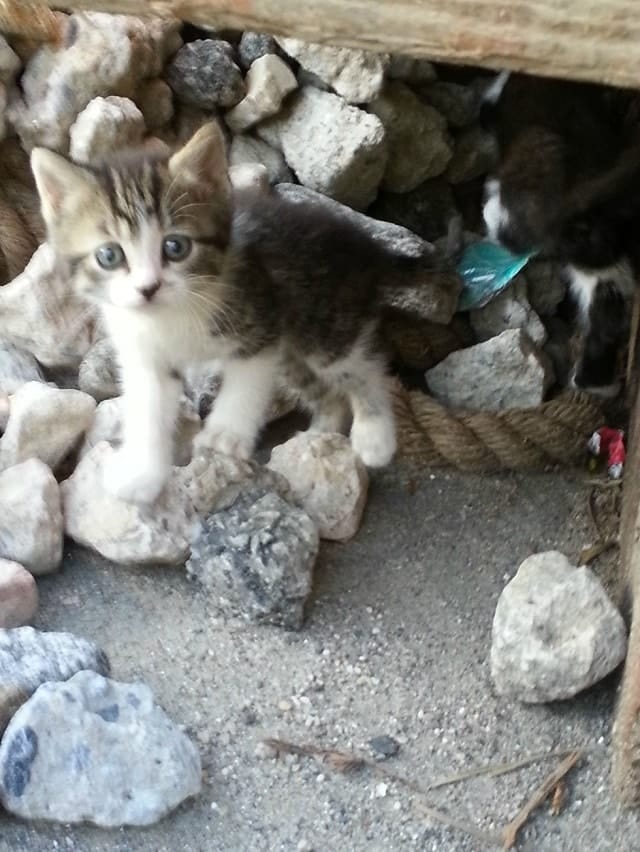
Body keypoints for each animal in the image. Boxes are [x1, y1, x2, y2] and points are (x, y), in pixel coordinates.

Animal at [31, 122, 400, 502]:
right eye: (109, 256)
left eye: (175, 247)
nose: (148, 288)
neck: (171, 314)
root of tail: (365, 246)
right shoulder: (146, 355)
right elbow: (148, 407)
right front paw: (141, 473)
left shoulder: (261, 323)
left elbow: (245, 385)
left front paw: (225, 435)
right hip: (294, 356)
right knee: (328, 393)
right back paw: (320, 434)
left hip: (325, 325)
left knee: (365, 368)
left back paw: (374, 435)